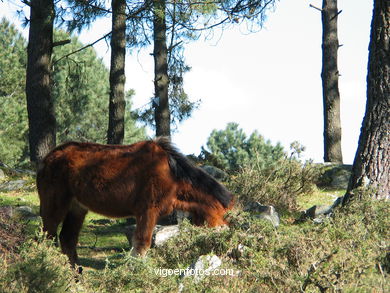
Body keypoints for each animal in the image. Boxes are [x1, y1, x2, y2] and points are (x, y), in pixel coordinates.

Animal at [36, 137, 233, 264]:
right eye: (224, 218)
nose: (225, 248)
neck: (171, 176)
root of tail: (48, 159)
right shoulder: (148, 212)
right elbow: (141, 245)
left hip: (77, 208)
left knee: (67, 240)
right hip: (55, 206)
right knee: (47, 237)